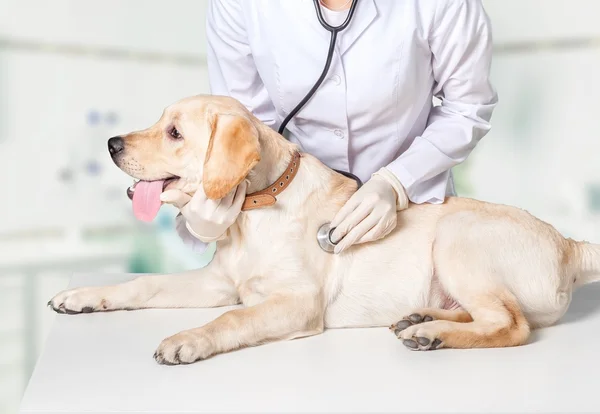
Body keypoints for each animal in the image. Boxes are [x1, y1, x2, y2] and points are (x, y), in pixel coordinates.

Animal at [48, 94, 600, 366]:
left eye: (175, 133)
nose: (111, 143)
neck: (254, 211)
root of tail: (568, 244)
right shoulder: (219, 282)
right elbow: (143, 283)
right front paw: (82, 295)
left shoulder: (296, 302)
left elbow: (232, 319)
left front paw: (190, 339)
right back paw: (421, 319)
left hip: (457, 238)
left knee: (512, 324)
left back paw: (431, 335)